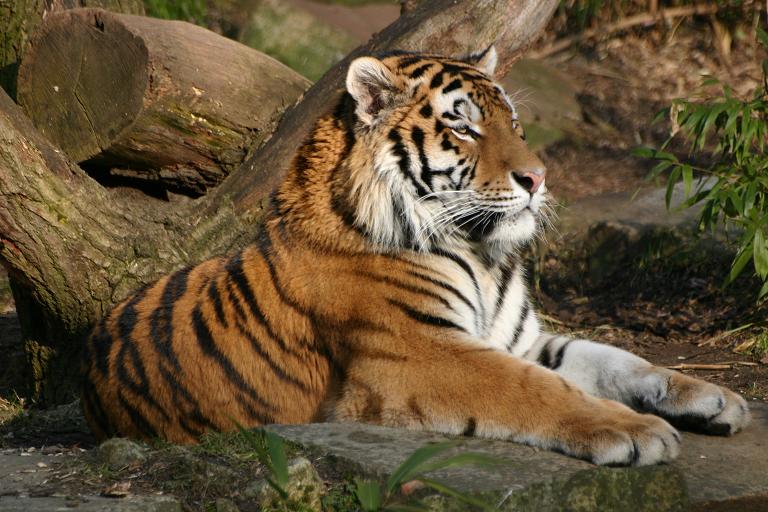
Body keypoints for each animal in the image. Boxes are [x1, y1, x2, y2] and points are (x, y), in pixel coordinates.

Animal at [82, 46, 752, 466]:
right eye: (464, 127)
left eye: (514, 123)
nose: (539, 178)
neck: (482, 254)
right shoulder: (422, 352)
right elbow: (539, 391)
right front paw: (637, 432)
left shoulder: (517, 339)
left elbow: (618, 359)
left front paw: (712, 397)